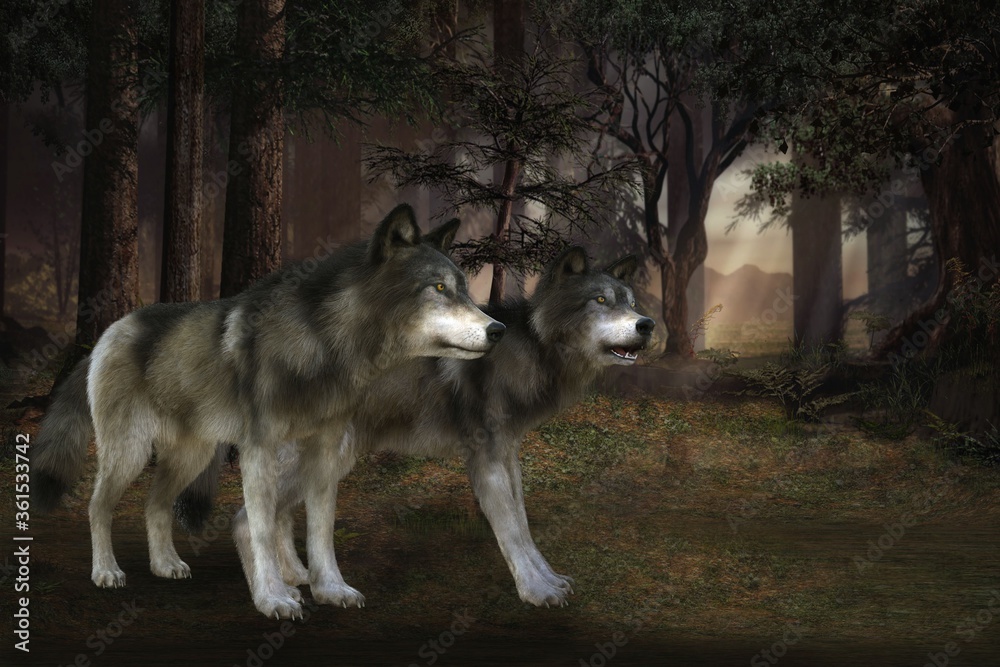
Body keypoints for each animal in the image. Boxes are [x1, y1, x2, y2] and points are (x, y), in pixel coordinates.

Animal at [30, 205, 505, 620]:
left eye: (464, 289)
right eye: (439, 288)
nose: (497, 329)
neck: (321, 348)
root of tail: (106, 334)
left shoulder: (324, 452)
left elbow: (319, 531)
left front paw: (330, 589)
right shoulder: (258, 451)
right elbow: (260, 527)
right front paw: (274, 599)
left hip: (191, 457)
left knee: (155, 504)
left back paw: (166, 565)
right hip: (129, 452)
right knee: (97, 505)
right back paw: (106, 571)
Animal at [180, 246, 654, 608]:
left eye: (630, 302)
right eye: (600, 301)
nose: (647, 324)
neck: (529, 348)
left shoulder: (508, 455)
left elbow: (524, 526)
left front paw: (549, 579)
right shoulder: (484, 460)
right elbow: (512, 532)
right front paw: (536, 593)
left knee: (273, 515)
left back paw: (299, 577)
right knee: (246, 519)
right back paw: (277, 593)